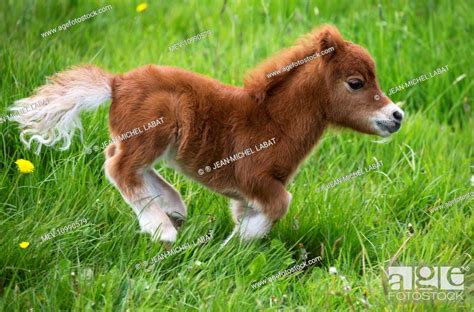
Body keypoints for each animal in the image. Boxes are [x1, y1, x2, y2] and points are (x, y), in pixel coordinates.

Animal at [11, 25, 404, 243]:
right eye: (356, 83)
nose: (396, 116)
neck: (275, 121)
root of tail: (116, 83)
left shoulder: (247, 194)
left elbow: (251, 212)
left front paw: (240, 243)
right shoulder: (253, 177)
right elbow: (281, 203)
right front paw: (236, 244)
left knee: (120, 161)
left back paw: (172, 207)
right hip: (156, 126)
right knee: (118, 167)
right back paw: (162, 229)